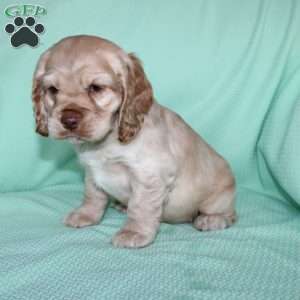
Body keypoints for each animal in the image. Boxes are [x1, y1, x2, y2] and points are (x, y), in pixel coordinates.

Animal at [31, 35, 237, 248]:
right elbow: (92, 196)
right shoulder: (91, 172)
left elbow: (140, 207)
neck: (106, 142)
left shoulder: (150, 175)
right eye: (53, 90)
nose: (69, 120)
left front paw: (133, 232)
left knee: (230, 215)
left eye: (96, 88)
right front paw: (86, 215)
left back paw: (212, 219)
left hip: (219, 198)